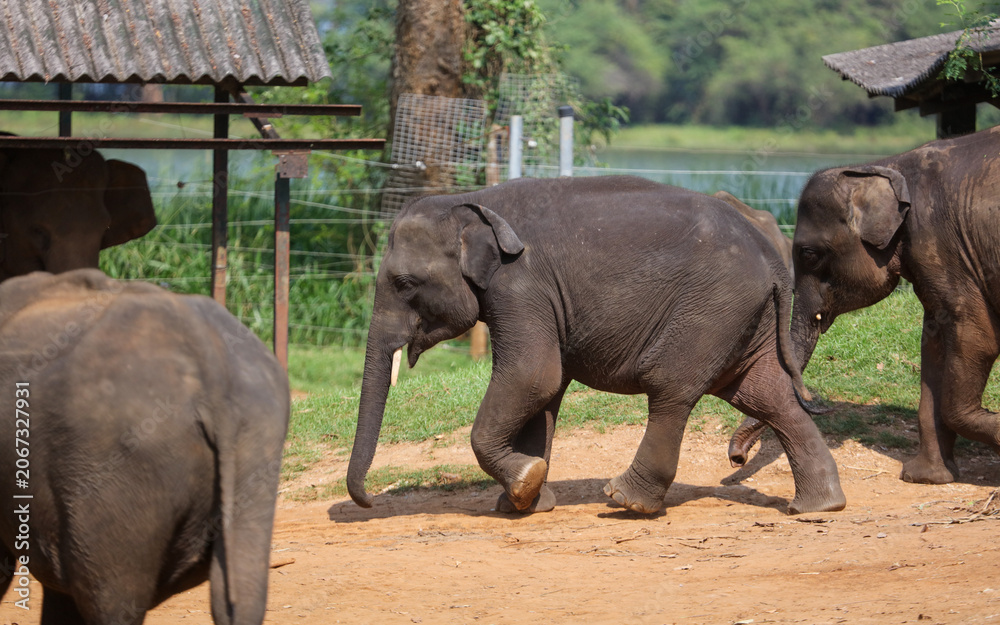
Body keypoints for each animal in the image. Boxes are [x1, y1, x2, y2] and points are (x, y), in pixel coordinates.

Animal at [347, 175, 845, 516]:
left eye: (403, 283)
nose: (369, 501)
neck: (474, 201)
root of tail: (772, 258)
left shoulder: (520, 286)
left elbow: (533, 373)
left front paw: (525, 483)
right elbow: (545, 392)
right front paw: (524, 502)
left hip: (711, 309)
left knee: (671, 389)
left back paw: (626, 500)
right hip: (746, 318)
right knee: (764, 395)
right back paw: (819, 507)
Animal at [728, 125, 1000, 484]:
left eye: (808, 254)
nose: (736, 458)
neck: (882, 166)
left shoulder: (940, 242)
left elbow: (976, 339)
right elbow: (935, 343)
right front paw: (926, 477)